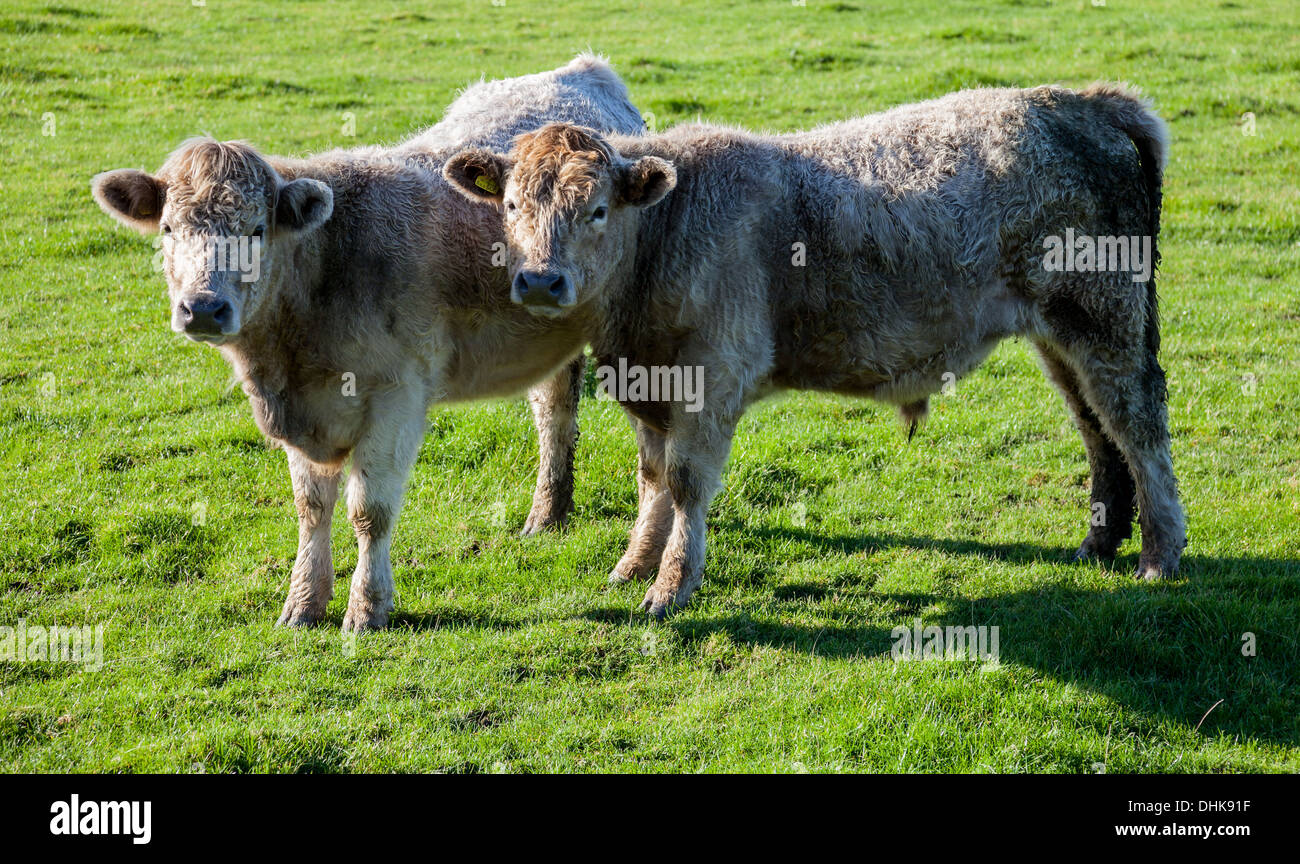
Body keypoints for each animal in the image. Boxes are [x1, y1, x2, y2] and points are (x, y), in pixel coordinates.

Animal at [89, 57, 642, 631]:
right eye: (168, 228)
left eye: (258, 229)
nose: (202, 308)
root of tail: (581, 68)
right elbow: (311, 507)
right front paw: (303, 601)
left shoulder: (398, 397)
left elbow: (369, 512)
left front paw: (367, 605)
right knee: (553, 411)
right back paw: (547, 515)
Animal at [447, 84, 1190, 615]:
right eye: (511, 205)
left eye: (598, 209)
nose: (541, 281)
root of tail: (1082, 100)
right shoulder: (650, 386)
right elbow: (652, 478)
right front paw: (634, 565)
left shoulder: (713, 379)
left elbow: (686, 484)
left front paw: (671, 585)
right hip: (1061, 334)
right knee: (1096, 429)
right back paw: (1099, 541)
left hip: (1106, 319)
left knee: (1138, 424)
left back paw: (1159, 556)